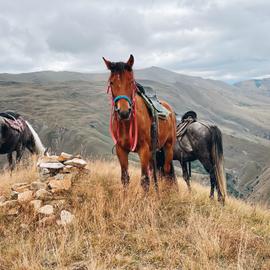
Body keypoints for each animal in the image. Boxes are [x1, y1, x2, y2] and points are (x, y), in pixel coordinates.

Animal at [102, 54, 176, 191]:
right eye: (111, 82)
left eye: (131, 82)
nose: (124, 112)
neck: (127, 124)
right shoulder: (121, 150)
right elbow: (125, 179)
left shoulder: (144, 150)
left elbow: (145, 181)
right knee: (154, 174)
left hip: (168, 147)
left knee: (166, 172)